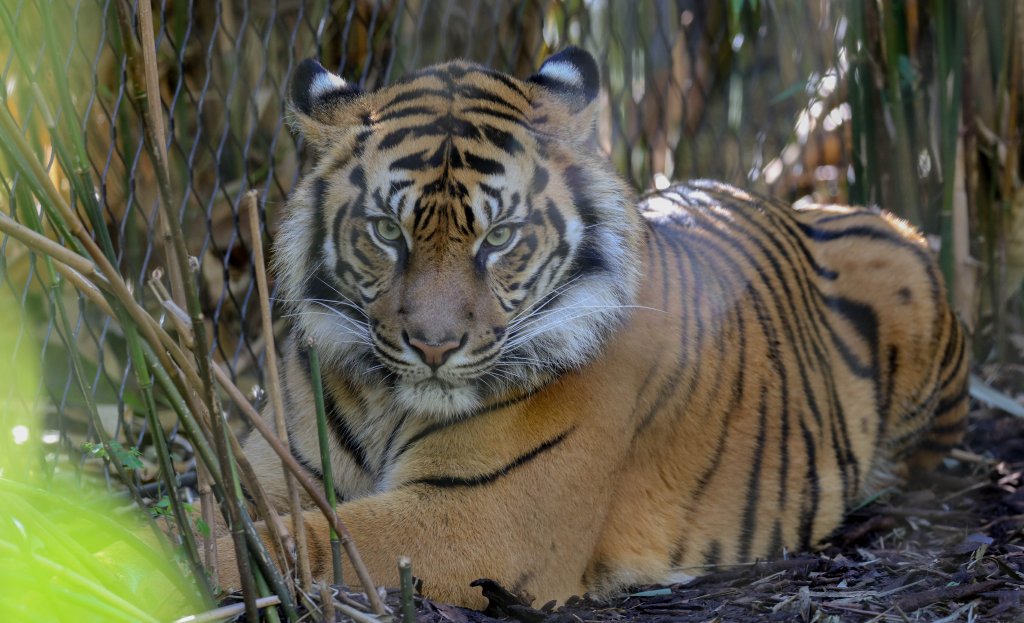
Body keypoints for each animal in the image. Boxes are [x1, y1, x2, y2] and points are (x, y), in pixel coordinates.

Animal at [219, 47, 969, 609]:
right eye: (385, 231)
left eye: (499, 237)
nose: (433, 346)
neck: (385, 400)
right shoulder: (273, 465)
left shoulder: (481, 518)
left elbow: (290, 542)